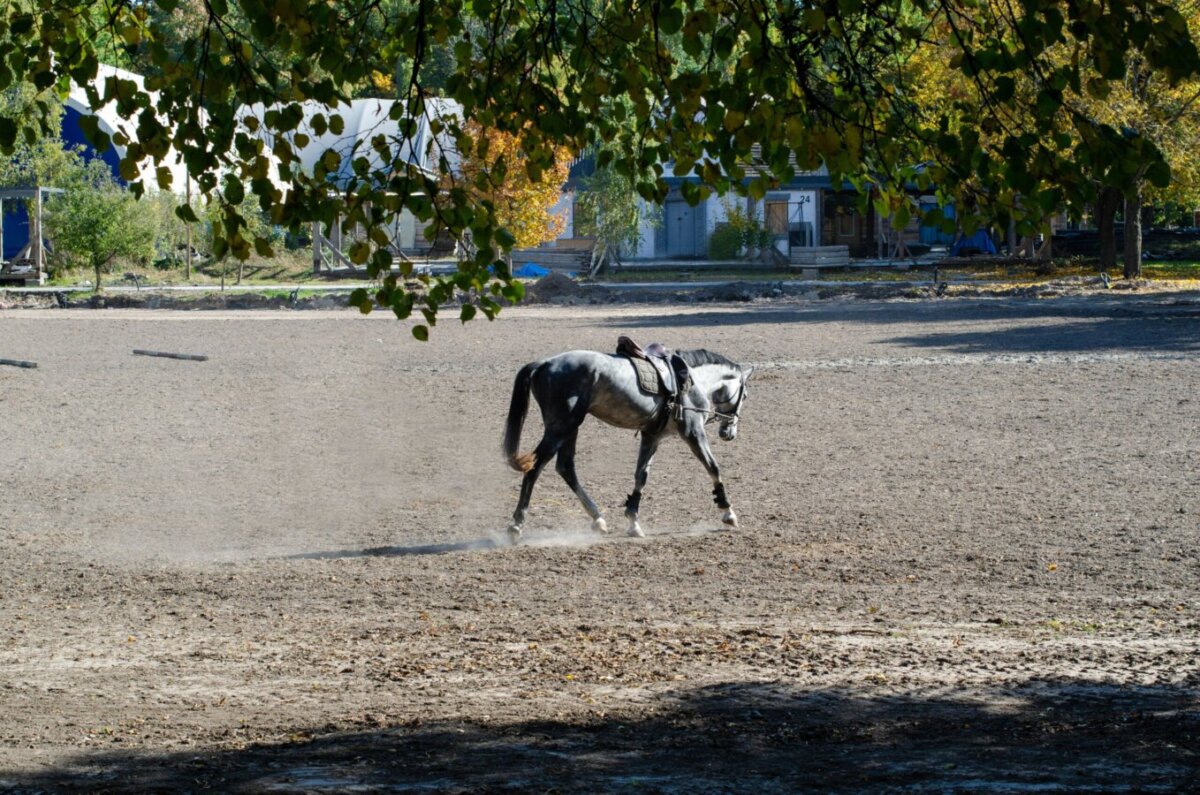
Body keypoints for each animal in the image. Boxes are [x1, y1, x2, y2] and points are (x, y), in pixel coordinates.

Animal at [502, 346, 753, 542]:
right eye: (745, 395)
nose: (728, 432)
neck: (692, 380)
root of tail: (544, 364)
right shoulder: (693, 432)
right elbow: (713, 467)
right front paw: (728, 511)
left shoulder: (652, 436)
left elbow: (641, 476)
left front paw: (633, 522)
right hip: (561, 426)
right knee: (535, 468)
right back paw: (516, 525)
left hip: (569, 428)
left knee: (565, 467)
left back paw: (598, 519)